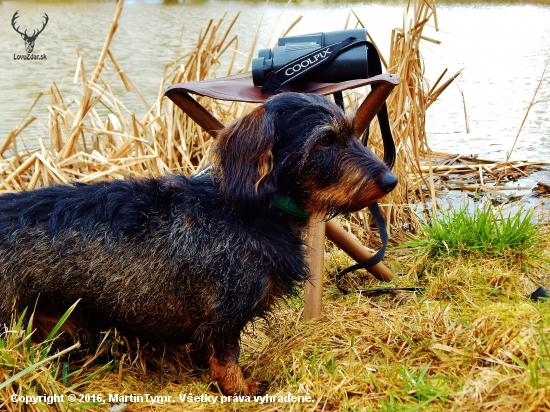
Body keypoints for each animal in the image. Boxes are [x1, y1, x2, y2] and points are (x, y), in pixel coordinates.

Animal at [0, 91, 396, 394]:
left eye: (353, 134)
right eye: (326, 139)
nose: (390, 180)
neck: (250, 210)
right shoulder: (225, 314)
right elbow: (226, 358)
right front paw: (240, 388)